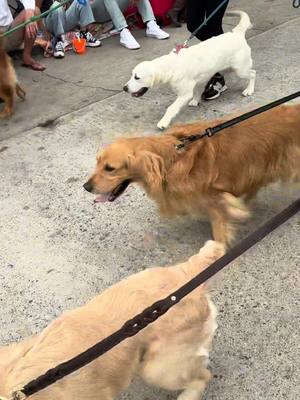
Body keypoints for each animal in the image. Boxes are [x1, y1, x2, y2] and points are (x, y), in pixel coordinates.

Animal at [84, 104, 300, 245]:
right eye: (97, 162)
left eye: (110, 168)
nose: (86, 187)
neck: (171, 158)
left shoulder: (211, 197)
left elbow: (221, 219)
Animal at [123, 10, 255, 130]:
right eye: (132, 75)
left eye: (137, 77)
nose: (124, 88)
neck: (171, 66)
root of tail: (236, 33)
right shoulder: (197, 81)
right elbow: (197, 91)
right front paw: (195, 101)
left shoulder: (184, 93)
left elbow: (171, 108)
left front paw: (163, 122)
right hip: (229, 68)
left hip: (239, 69)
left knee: (253, 73)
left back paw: (249, 90)